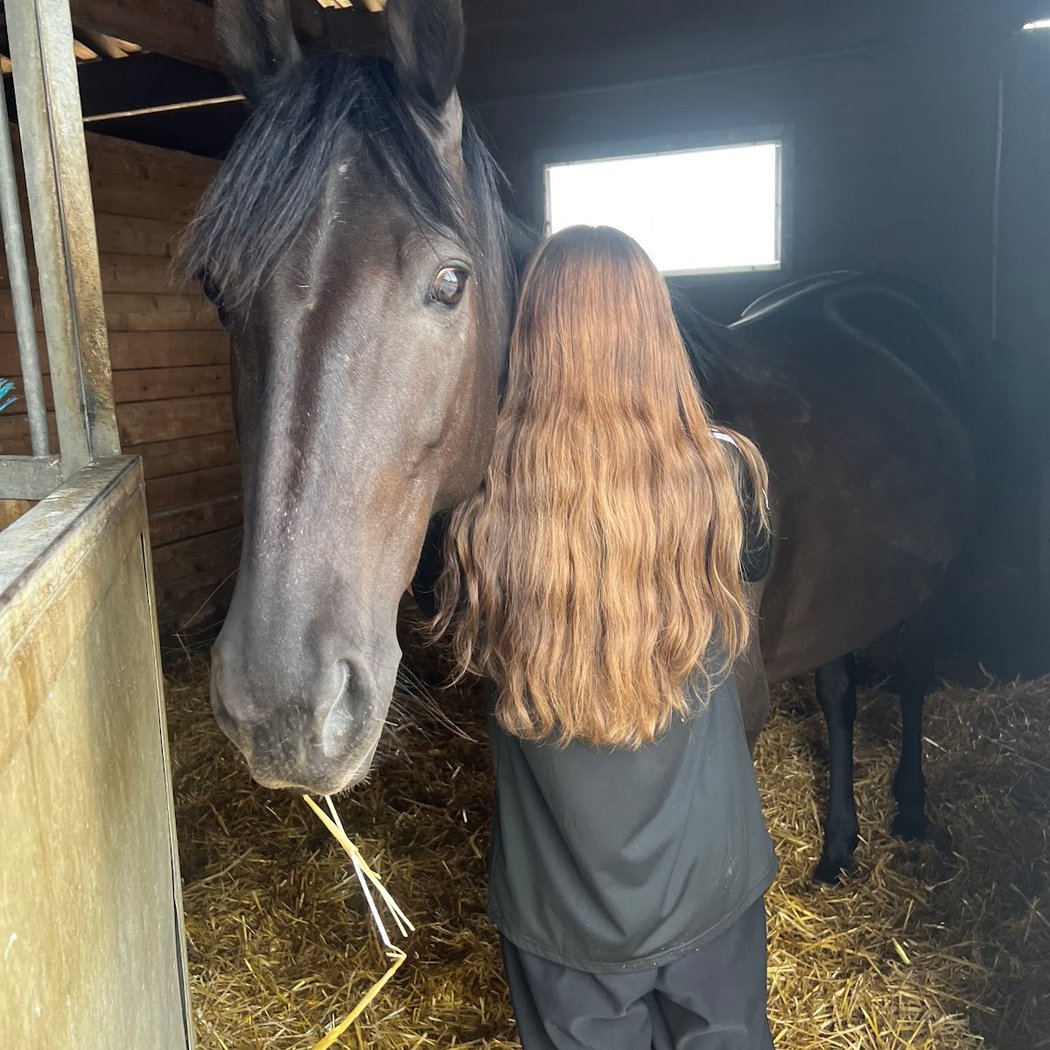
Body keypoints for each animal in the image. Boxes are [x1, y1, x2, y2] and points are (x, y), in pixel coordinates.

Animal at [184, 0, 975, 882]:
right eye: (217, 290)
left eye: (450, 283)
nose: (282, 710)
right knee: (840, 691)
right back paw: (839, 844)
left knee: (909, 676)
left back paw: (910, 808)